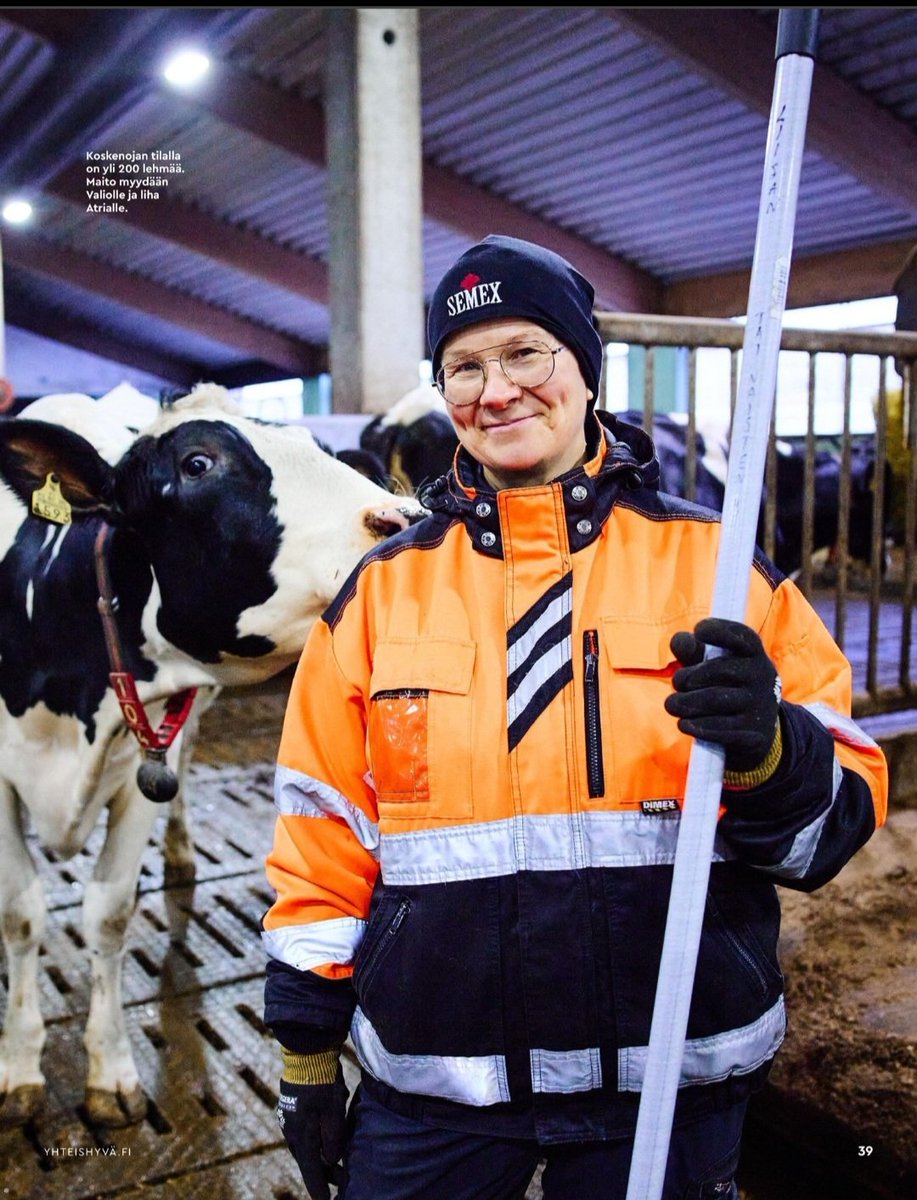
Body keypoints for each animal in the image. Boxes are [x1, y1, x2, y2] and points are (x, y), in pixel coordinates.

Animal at [0, 381, 422, 1123]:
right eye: (197, 464)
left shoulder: (140, 764)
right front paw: (20, 1064)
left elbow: (108, 914)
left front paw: (109, 1071)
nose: (404, 519)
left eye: (318, 446)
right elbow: (20, 914)